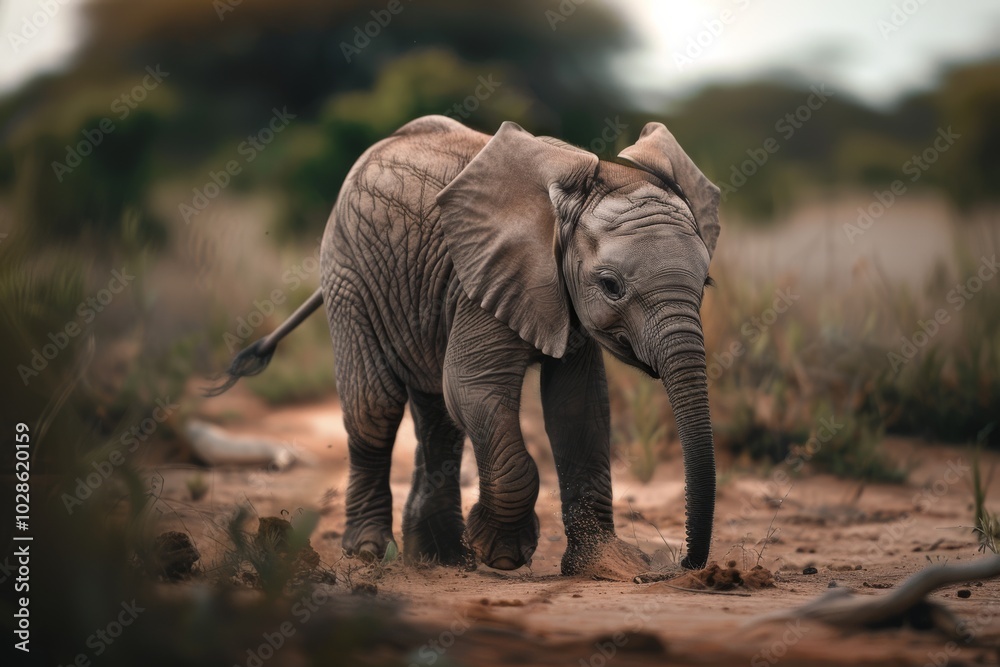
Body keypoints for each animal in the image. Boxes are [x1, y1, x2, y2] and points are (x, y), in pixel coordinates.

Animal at [211, 115, 720, 573]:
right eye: (611, 285)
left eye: (706, 283)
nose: (683, 564)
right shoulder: (484, 279)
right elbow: (475, 388)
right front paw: (502, 554)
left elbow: (578, 408)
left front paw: (604, 565)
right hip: (347, 271)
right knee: (375, 407)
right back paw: (370, 552)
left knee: (438, 417)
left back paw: (441, 557)